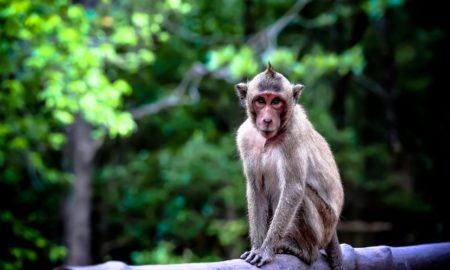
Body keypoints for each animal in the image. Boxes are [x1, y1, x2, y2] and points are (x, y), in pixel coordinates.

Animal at [236, 64, 344, 268]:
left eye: (276, 101)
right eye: (260, 101)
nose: (267, 119)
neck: (269, 139)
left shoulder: (294, 136)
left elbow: (293, 190)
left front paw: (266, 250)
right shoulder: (244, 138)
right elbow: (256, 189)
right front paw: (257, 248)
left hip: (324, 225)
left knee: (301, 197)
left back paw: (304, 251)